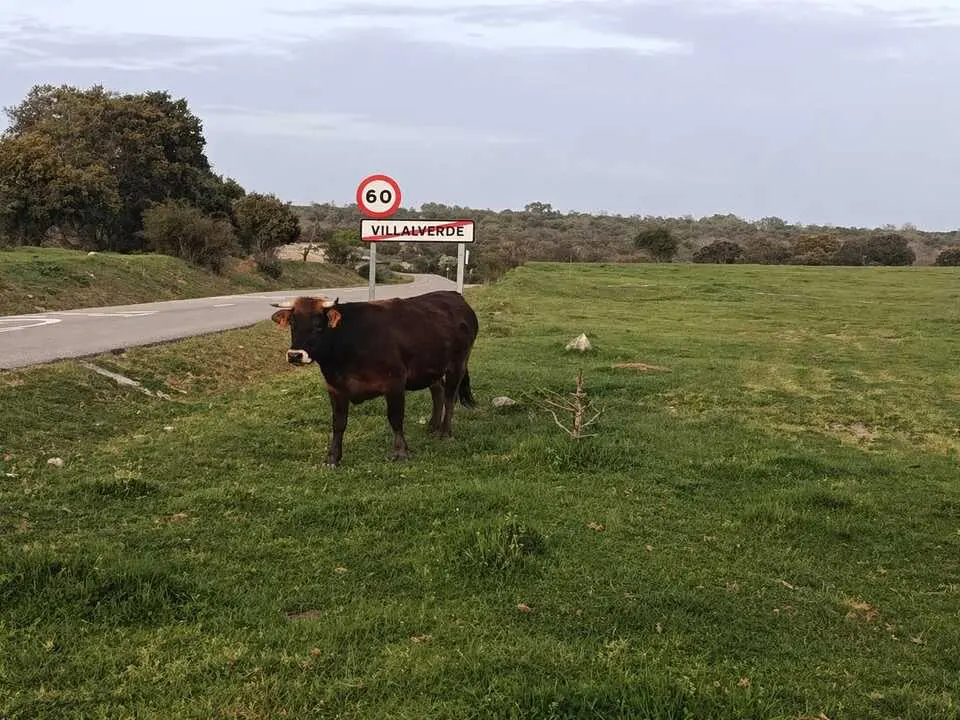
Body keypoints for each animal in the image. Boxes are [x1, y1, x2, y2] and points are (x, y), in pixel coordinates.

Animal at [269, 290, 479, 467]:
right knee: (438, 391)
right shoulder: (335, 388)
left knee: (450, 397)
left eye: (318, 326)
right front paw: (333, 458)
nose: (295, 355)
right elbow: (338, 423)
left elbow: (395, 418)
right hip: (430, 368)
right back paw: (432, 426)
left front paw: (401, 452)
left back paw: (445, 432)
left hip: (457, 364)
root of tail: (455, 296)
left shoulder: (395, 383)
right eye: (293, 324)